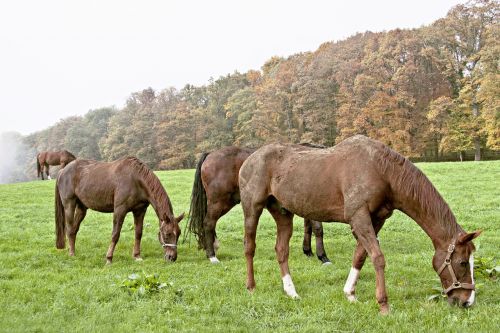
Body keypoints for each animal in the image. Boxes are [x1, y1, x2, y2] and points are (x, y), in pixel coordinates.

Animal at [55, 157, 184, 264]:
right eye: (167, 234)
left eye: (178, 233)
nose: (172, 257)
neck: (135, 179)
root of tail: (62, 171)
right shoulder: (120, 210)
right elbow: (115, 234)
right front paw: (109, 258)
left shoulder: (140, 211)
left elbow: (138, 233)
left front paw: (137, 256)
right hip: (69, 205)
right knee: (70, 229)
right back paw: (71, 253)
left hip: (82, 208)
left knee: (74, 229)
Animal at [188, 146, 332, 264]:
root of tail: (211, 154)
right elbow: (318, 229)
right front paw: (323, 256)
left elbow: (308, 227)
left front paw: (308, 251)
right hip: (220, 202)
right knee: (208, 223)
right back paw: (212, 256)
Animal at [240, 134, 482, 312]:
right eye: (462, 262)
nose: (467, 301)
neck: (382, 171)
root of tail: (249, 159)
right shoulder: (359, 217)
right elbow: (378, 258)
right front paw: (383, 305)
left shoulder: (375, 220)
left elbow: (360, 256)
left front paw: (350, 294)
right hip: (252, 209)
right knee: (249, 247)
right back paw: (251, 287)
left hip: (283, 214)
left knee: (281, 250)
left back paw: (291, 292)